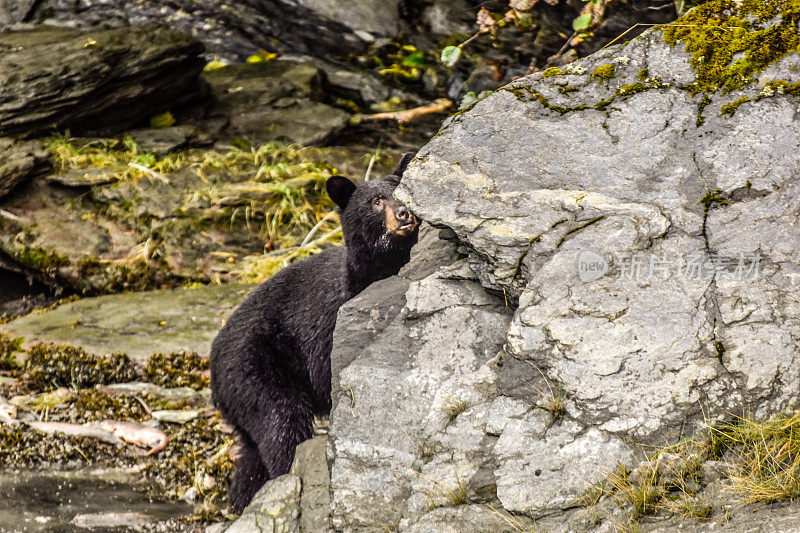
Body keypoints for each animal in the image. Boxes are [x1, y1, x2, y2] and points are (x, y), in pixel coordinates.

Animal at [208, 153, 418, 512]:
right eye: (376, 201)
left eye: (403, 190)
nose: (403, 214)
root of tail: (212, 361)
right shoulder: (330, 324)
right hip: (256, 370)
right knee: (282, 426)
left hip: (243, 399)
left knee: (252, 456)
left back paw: (243, 502)